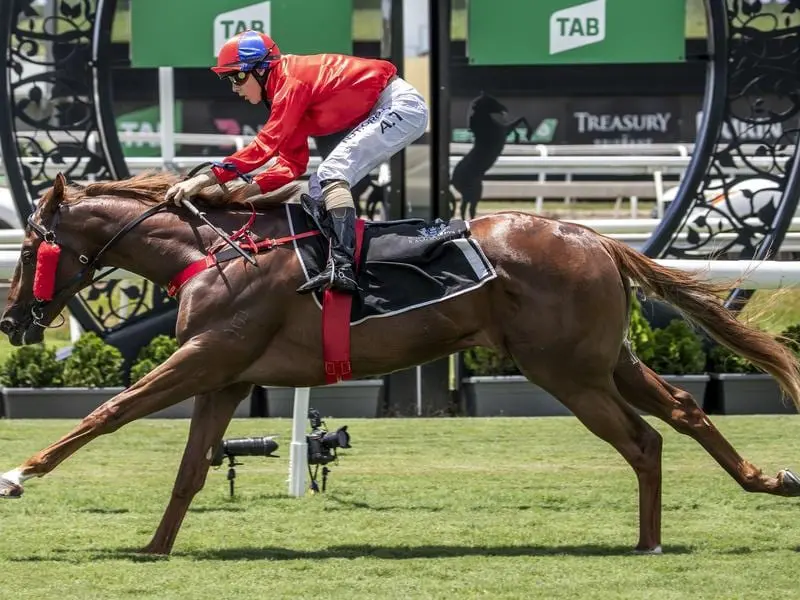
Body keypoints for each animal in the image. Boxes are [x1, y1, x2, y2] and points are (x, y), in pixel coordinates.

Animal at [1, 171, 800, 556]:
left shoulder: (206, 358)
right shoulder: (227, 377)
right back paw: (763, 481)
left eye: (30, 246)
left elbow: (108, 411)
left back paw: (650, 542)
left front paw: (16, 476)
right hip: (604, 360)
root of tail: (596, 238)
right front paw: (154, 549)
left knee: (643, 439)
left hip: (567, 372)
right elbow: (192, 469)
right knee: (684, 411)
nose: (11, 321)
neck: (214, 251)